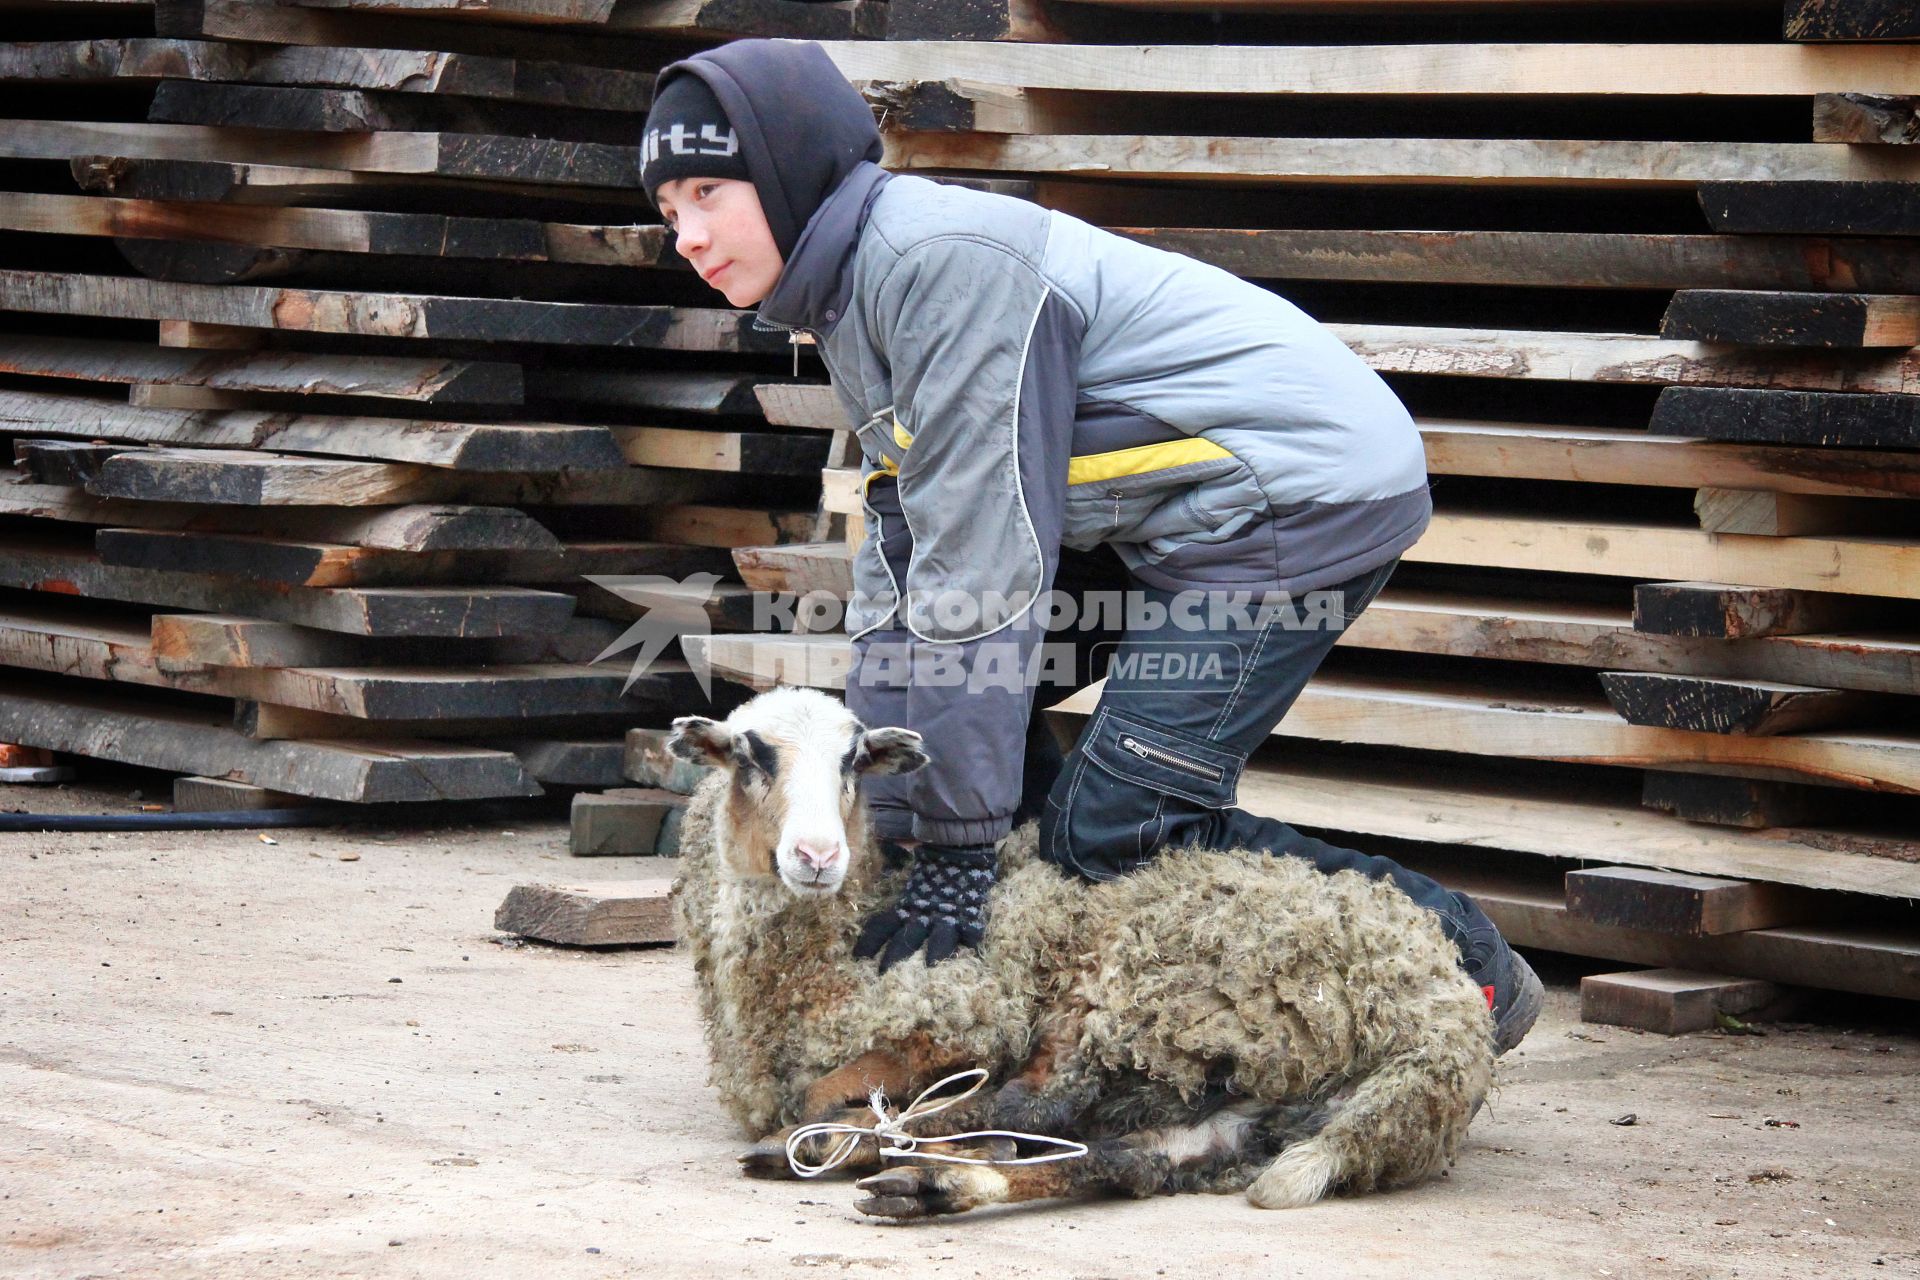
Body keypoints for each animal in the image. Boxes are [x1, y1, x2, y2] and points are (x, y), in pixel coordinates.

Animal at [668, 690, 1489, 1220]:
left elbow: (826, 1091)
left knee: (1028, 1108)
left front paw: (836, 1125)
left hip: (1154, 1002)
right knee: (1132, 1161)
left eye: (853, 762)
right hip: (1256, 1114)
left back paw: (874, 1151)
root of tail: (1446, 1033)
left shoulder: (967, 1022)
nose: (817, 856)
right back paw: (936, 1186)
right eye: (748, 756)